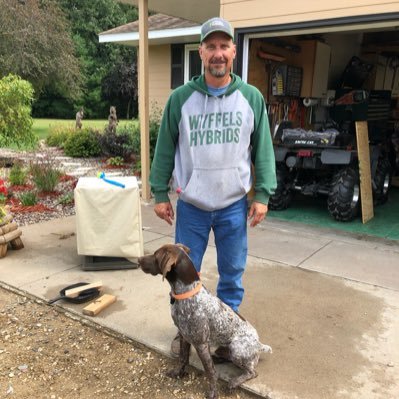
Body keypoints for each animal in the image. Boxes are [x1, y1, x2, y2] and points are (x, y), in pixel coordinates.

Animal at [138, 244, 272, 399]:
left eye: (155, 255)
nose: (138, 259)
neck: (186, 293)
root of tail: (259, 344)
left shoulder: (201, 344)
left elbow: (210, 371)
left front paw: (213, 391)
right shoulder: (184, 336)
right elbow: (183, 358)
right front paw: (178, 373)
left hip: (237, 349)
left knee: (252, 372)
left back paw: (234, 382)